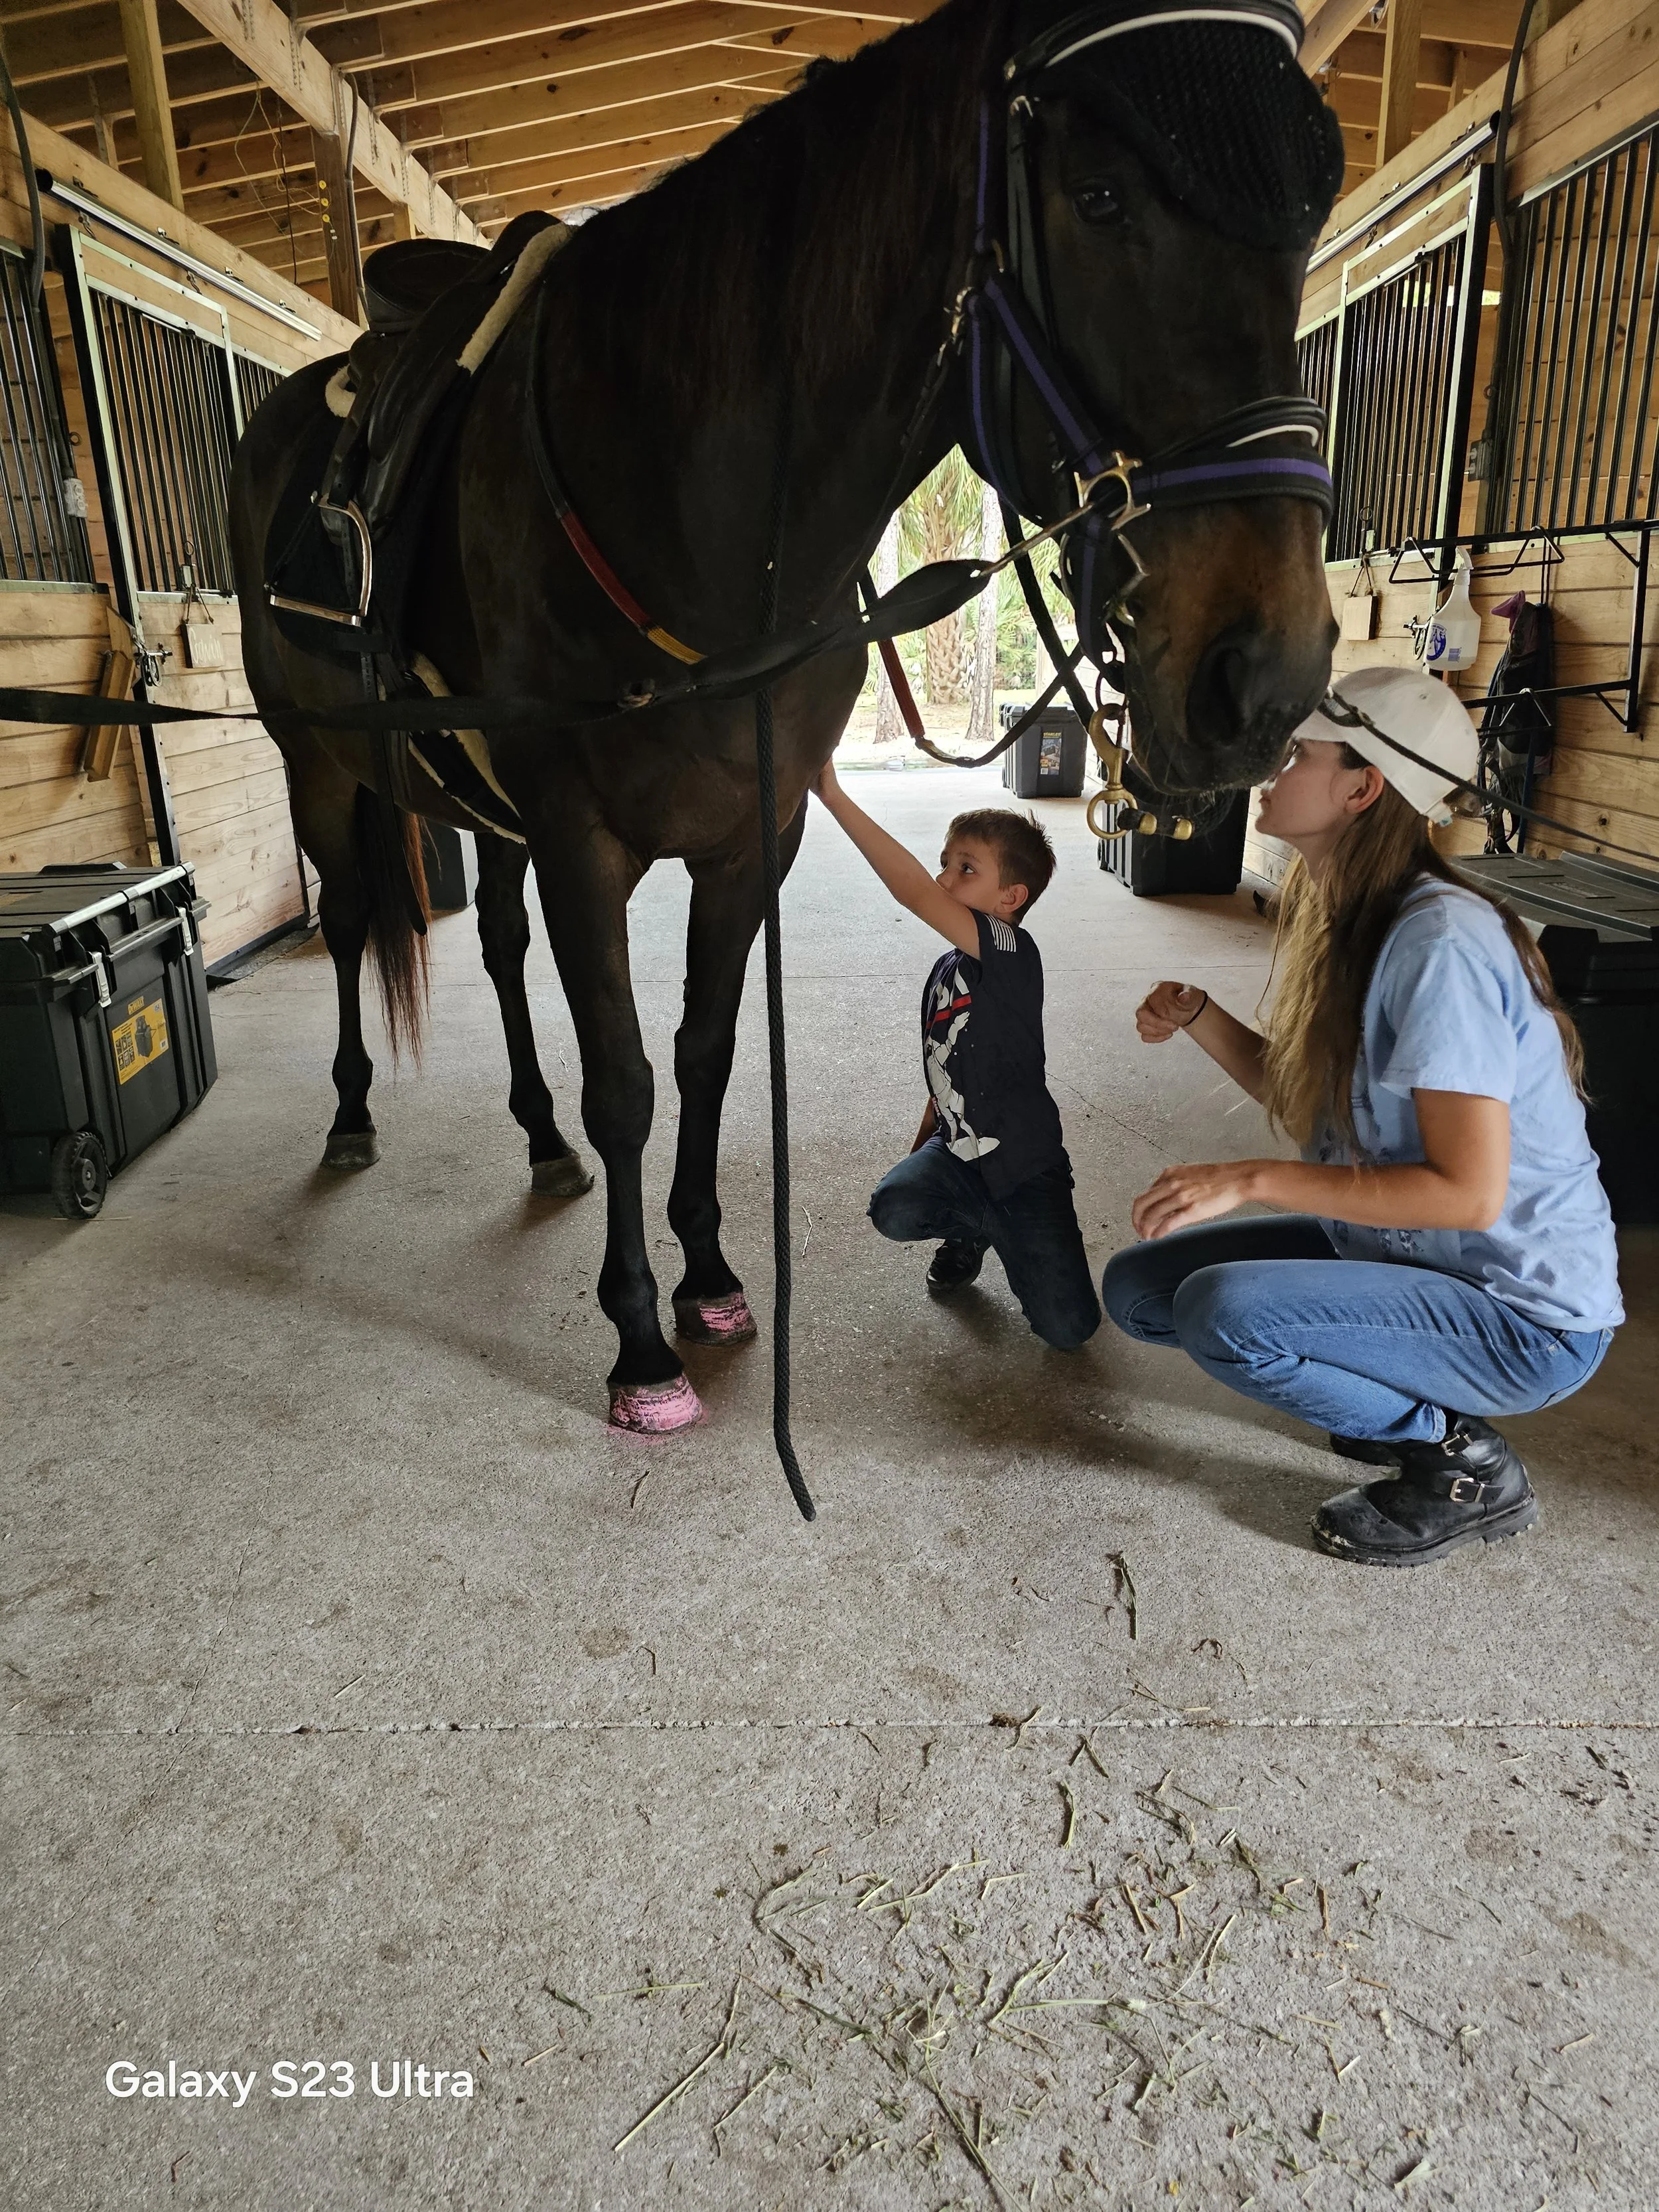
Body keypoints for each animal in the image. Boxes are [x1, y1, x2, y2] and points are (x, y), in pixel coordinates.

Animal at [230, 0, 1341, 1433]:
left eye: (1310, 219)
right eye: (1097, 197)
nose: (1262, 677)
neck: (671, 498)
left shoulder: (748, 838)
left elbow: (703, 1055)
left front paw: (706, 1277)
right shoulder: (583, 844)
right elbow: (627, 1079)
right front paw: (639, 1338)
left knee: (495, 945)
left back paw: (536, 1137)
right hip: (322, 768)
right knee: (362, 919)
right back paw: (353, 1115)